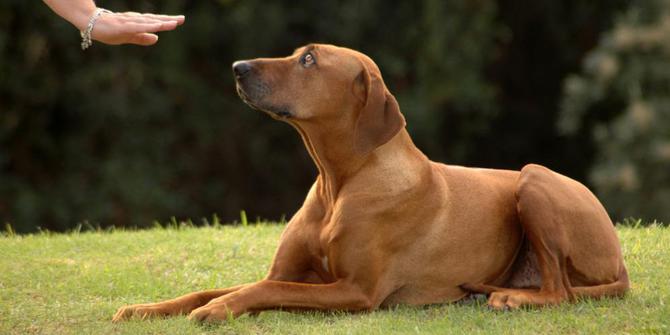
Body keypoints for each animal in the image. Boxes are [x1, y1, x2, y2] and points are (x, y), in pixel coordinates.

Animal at [113, 44, 632, 322]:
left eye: (308, 60)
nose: (238, 67)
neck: (338, 182)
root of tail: (620, 259)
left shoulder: (356, 291)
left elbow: (258, 292)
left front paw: (220, 310)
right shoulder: (288, 272)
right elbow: (212, 289)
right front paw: (145, 309)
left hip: (533, 178)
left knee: (560, 290)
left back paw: (512, 297)